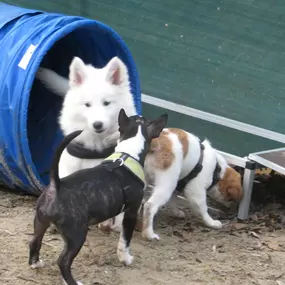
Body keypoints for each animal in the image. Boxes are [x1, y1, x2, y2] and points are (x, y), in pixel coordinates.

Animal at [28, 108, 166, 284]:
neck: (128, 153)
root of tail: (55, 186)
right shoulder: (131, 213)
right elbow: (125, 241)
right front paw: (126, 259)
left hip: (40, 222)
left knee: (34, 242)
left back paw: (35, 264)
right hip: (76, 236)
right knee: (63, 261)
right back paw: (73, 282)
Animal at [104, 127, 242, 240]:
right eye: (231, 198)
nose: (232, 212)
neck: (217, 170)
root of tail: (154, 142)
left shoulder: (176, 185)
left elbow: (173, 201)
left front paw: (176, 212)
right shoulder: (195, 192)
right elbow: (203, 209)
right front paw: (211, 222)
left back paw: (117, 227)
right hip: (166, 183)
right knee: (150, 206)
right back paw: (148, 234)